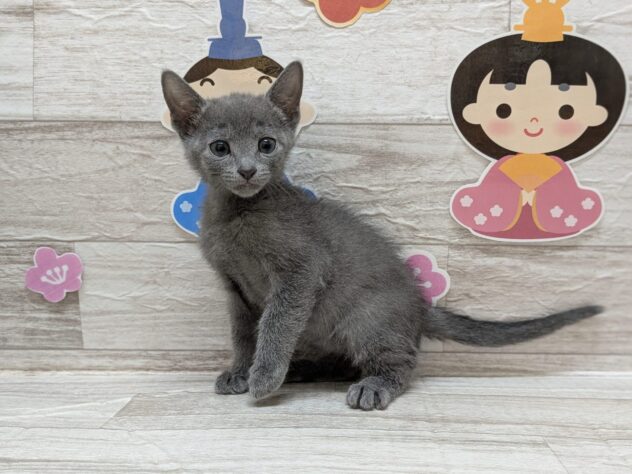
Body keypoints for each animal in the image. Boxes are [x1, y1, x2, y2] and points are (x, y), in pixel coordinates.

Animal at [161, 62, 603, 410]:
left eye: (266, 144)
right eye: (220, 147)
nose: (248, 169)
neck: (237, 214)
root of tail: (419, 305)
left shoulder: (301, 273)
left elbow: (275, 327)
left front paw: (264, 377)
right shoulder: (235, 288)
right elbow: (242, 334)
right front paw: (240, 371)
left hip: (367, 318)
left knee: (400, 360)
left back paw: (369, 386)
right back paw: (301, 369)